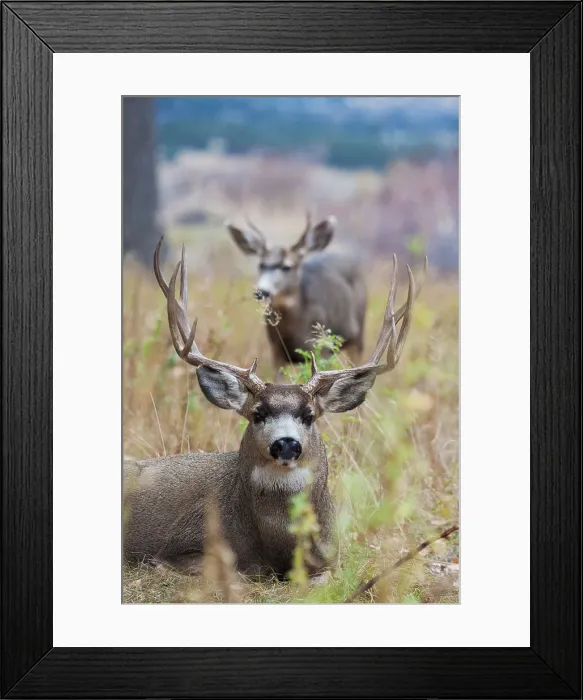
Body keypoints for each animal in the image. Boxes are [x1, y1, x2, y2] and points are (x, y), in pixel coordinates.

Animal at [123, 239, 422, 579]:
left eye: (309, 415)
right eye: (258, 414)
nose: (286, 444)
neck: (277, 548)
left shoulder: (332, 557)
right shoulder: (184, 542)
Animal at [226, 214, 367, 379]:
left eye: (287, 266)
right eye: (261, 265)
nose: (262, 291)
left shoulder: (321, 347)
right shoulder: (276, 351)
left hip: (356, 335)